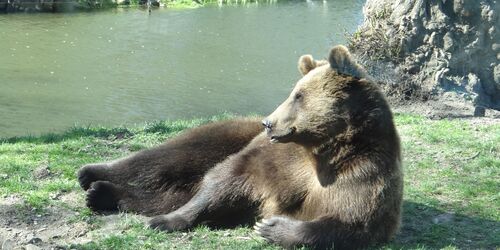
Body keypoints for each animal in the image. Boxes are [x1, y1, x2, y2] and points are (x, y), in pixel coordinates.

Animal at [78, 45, 402, 250]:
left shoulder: (361, 177)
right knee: (165, 159)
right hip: (223, 136)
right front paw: (166, 221)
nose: (268, 123)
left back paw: (102, 193)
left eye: (298, 96)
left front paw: (271, 227)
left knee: (169, 192)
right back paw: (90, 174)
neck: (321, 153)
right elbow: (225, 180)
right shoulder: (275, 161)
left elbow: (352, 224)